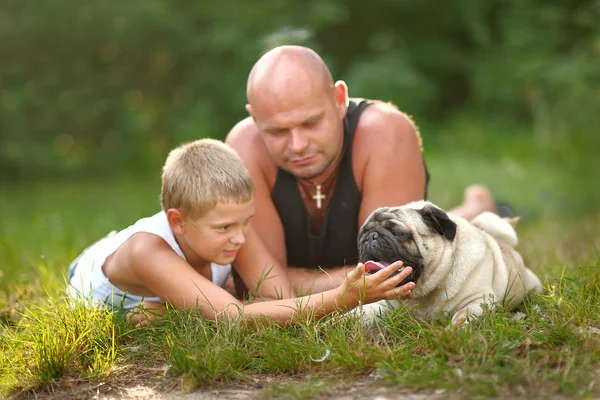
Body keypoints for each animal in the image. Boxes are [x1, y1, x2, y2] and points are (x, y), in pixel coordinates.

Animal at [352, 200, 544, 324]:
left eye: (398, 232)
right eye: (362, 233)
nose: (370, 237)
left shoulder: (478, 301)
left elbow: (462, 317)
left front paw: (453, 333)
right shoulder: (383, 302)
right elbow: (360, 311)